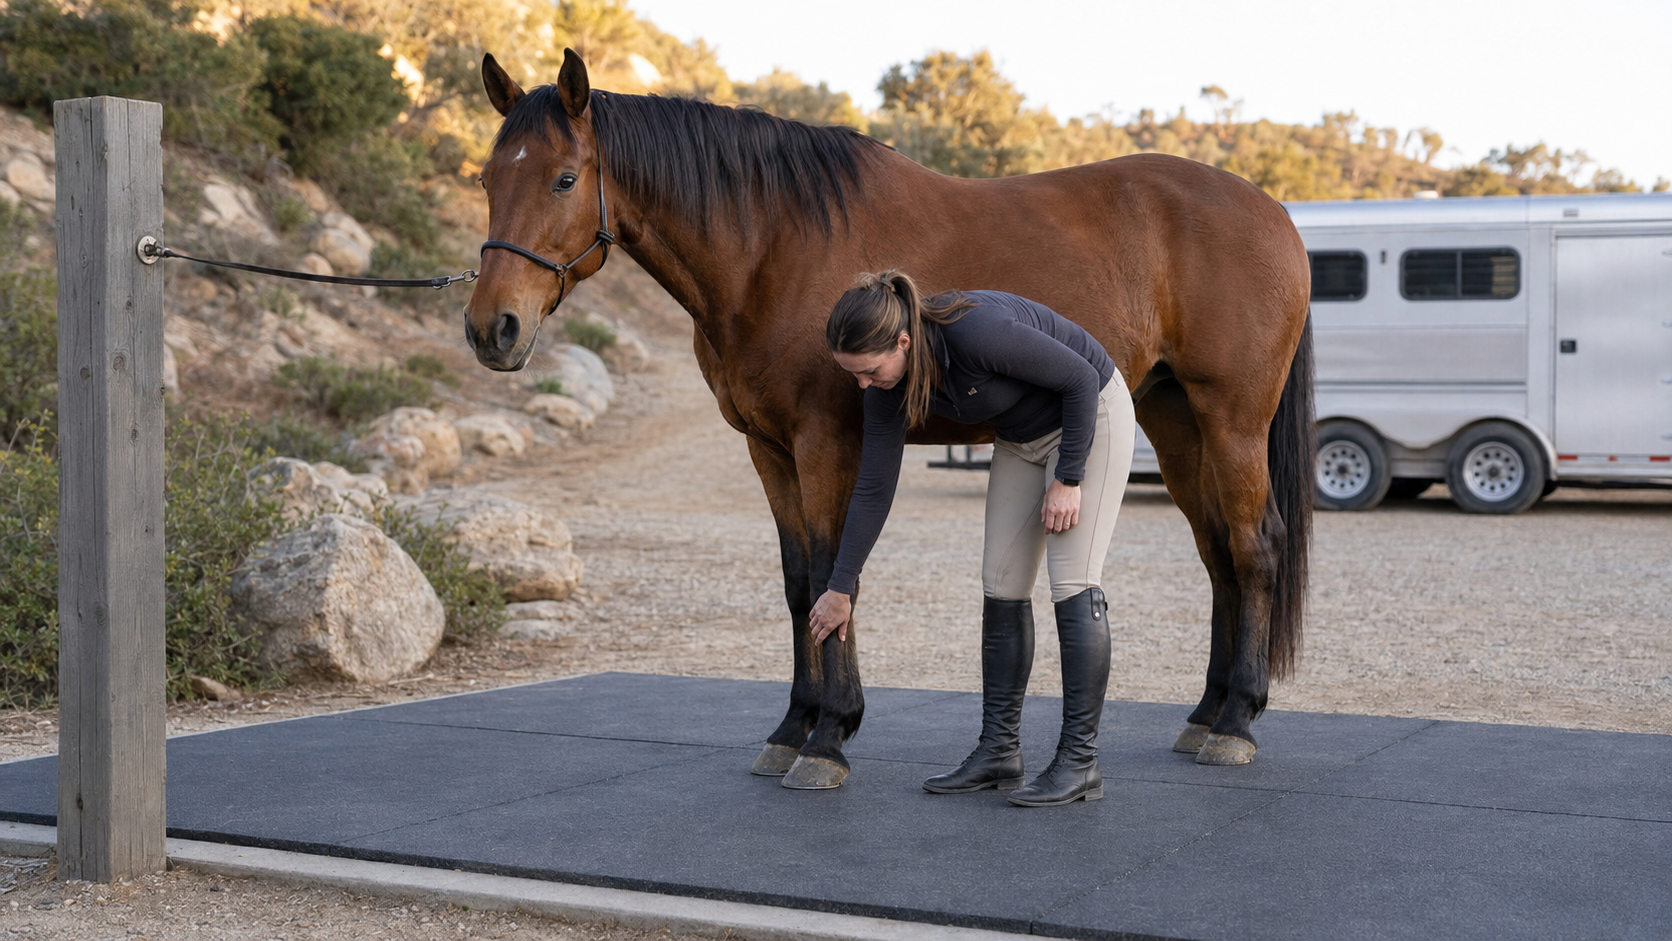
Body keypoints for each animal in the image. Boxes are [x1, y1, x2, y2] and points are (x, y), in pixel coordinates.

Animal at [465, 49, 1315, 786]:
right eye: (486, 178)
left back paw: (1237, 722)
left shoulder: (827, 442)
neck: (774, 246)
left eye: (564, 178)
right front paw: (793, 727)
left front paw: (831, 734)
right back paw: (1205, 713)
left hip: (1232, 420)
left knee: (1255, 546)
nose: (490, 329)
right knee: (1218, 555)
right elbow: (800, 583)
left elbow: (835, 570)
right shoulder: (769, 449)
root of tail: (1273, 211)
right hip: (1175, 422)